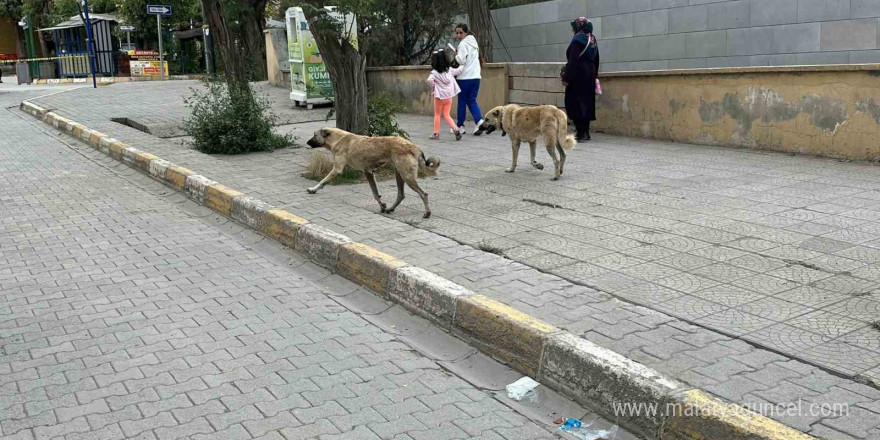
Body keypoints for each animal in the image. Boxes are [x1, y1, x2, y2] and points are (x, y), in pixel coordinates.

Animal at [306, 127, 440, 218]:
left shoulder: (337, 170)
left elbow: (322, 181)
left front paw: (313, 189)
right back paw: (390, 209)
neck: (338, 139)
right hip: (399, 175)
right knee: (401, 195)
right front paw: (382, 206)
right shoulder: (369, 172)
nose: (307, 143)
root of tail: (414, 147)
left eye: (314, 135)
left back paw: (427, 213)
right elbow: (376, 194)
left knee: (424, 194)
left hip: (407, 176)